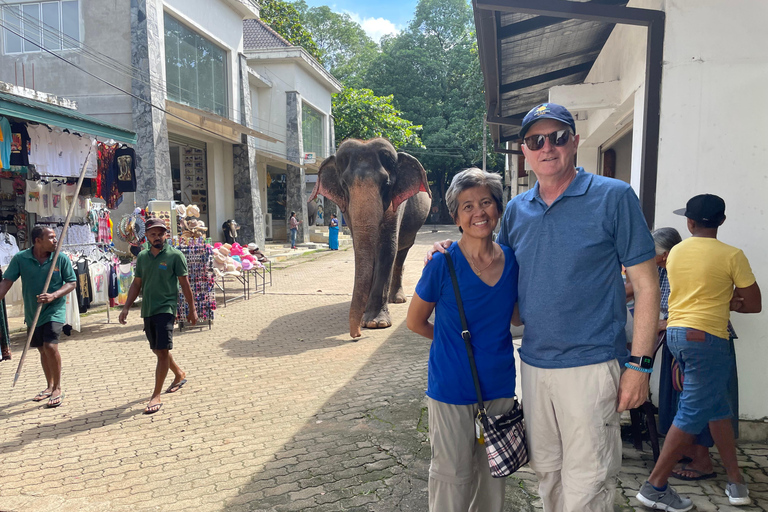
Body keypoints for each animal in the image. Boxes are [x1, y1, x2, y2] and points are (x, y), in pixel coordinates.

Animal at [310, 138, 432, 338]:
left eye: (386, 184)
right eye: (344, 185)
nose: (357, 334)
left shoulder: (396, 204)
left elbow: (387, 247)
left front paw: (376, 323)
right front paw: (366, 315)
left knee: (401, 252)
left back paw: (397, 299)